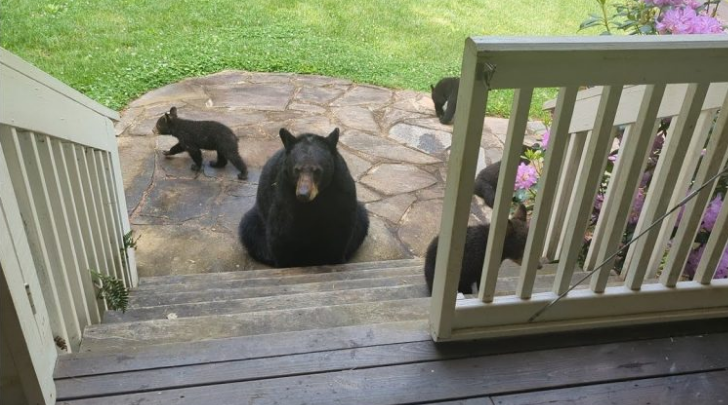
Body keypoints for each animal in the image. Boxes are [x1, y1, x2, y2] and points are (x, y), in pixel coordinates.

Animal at [239, 128, 370, 268]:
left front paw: (335, 259)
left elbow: (340, 226)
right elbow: (282, 233)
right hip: (258, 217)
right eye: (297, 169)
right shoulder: (285, 194)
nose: (303, 194)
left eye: (317, 170)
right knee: (250, 229)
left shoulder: (340, 188)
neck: (314, 201)